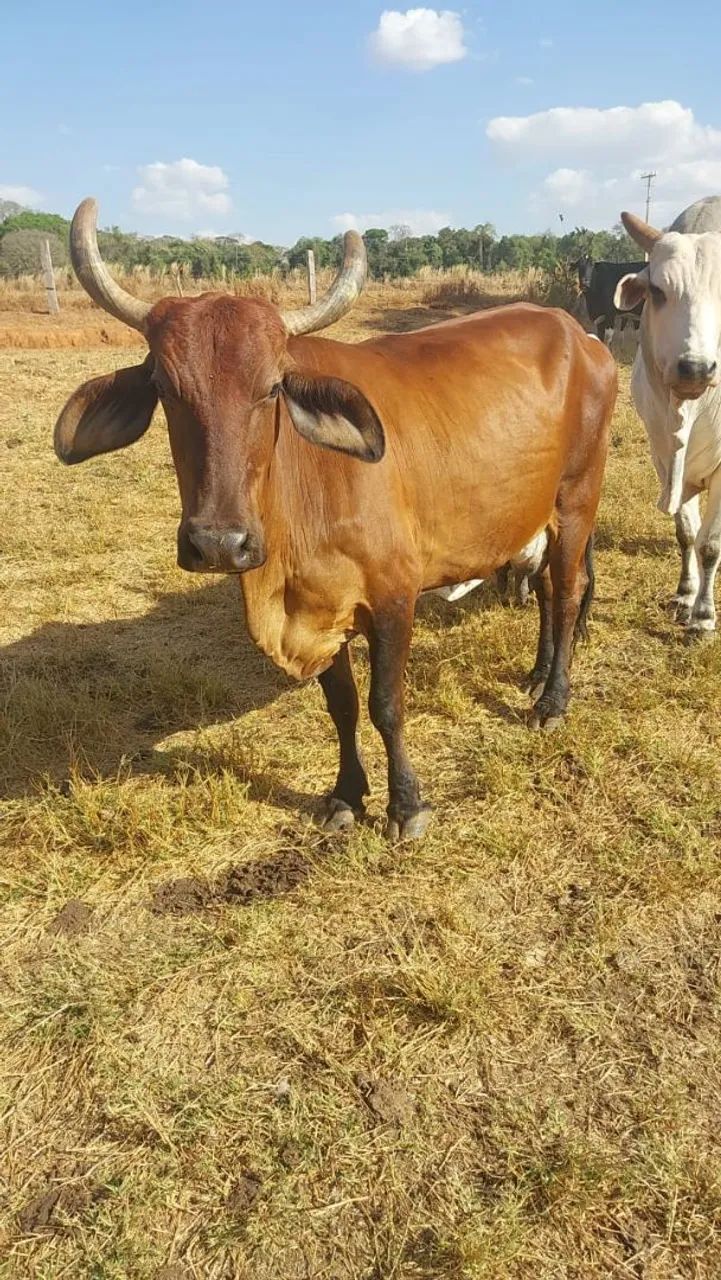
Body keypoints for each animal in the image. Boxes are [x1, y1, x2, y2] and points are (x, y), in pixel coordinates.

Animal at [54, 198, 617, 840]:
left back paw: (553, 701)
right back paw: (536, 675)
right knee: (546, 590)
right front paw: (348, 794)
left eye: (272, 387)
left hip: (577, 501)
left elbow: (386, 706)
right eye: (165, 388)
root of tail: (577, 331)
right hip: (534, 515)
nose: (219, 542)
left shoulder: (395, 597)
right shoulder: (322, 606)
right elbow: (342, 706)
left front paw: (406, 805)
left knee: (568, 591)